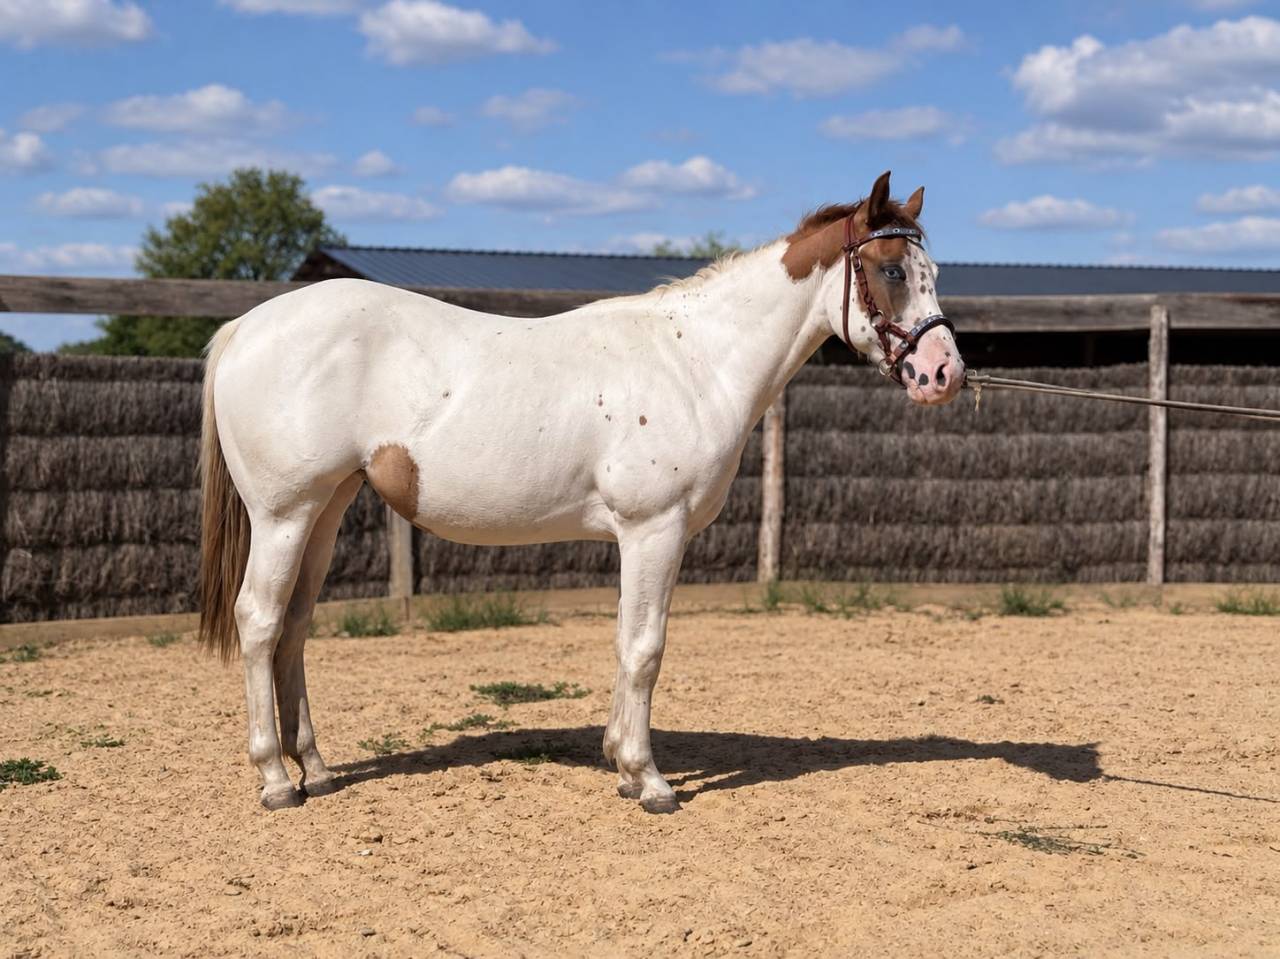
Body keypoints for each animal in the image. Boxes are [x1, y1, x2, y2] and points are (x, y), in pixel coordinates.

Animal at [199, 170, 965, 813]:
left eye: (930, 272)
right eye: (891, 269)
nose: (944, 373)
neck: (694, 360)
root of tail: (245, 328)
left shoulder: (639, 536)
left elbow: (626, 639)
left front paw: (622, 766)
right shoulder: (654, 529)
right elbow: (647, 647)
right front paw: (650, 781)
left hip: (325, 510)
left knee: (295, 624)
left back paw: (317, 770)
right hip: (284, 513)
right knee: (259, 621)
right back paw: (276, 780)